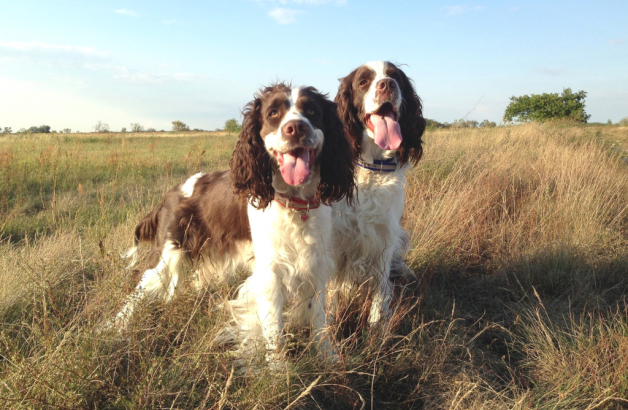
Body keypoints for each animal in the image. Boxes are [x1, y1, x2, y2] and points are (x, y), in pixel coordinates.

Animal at [112, 83, 354, 362]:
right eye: (273, 113)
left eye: (312, 110)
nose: (296, 127)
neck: (295, 203)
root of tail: (169, 195)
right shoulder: (271, 271)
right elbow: (274, 329)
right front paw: (277, 368)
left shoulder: (315, 263)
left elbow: (319, 320)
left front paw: (328, 359)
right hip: (167, 253)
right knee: (139, 288)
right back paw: (115, 327)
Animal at [332, 60, 424, 324]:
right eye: (363, 81)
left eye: (397, 78)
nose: (388, 85)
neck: (372, 167)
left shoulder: (385, 237)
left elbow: (380, 290)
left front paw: (376, 324)